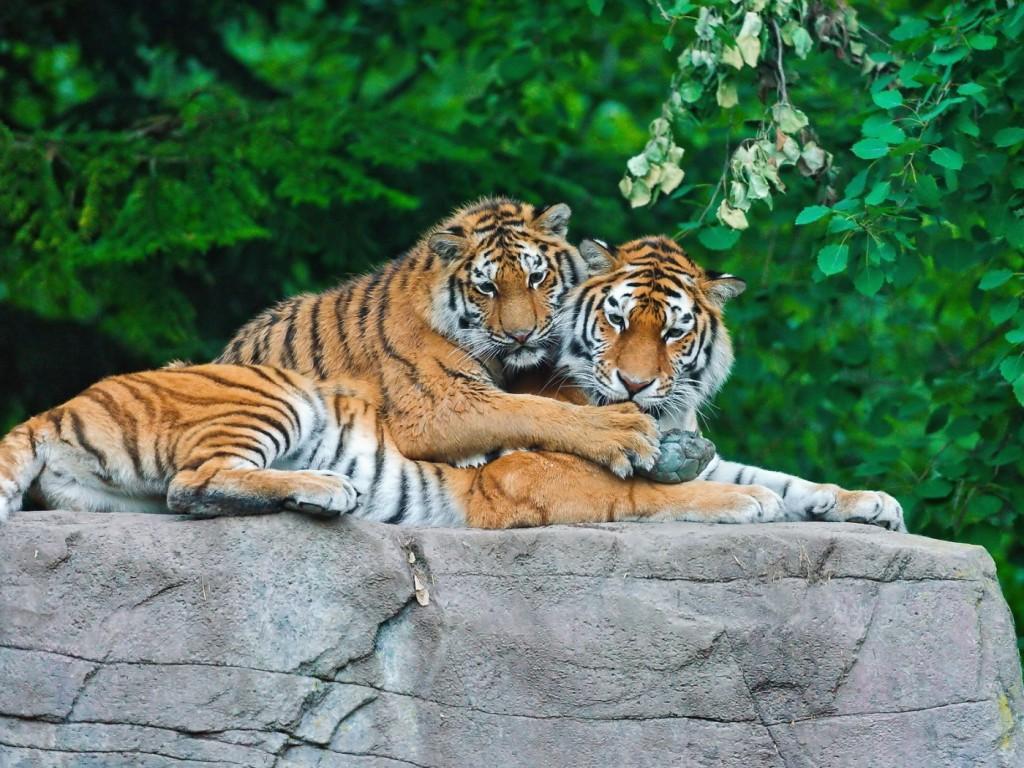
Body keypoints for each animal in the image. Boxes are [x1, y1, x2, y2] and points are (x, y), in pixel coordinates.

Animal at [216, 196, 660, 479]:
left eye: (536, 277)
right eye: (487, 288)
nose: (521, 335)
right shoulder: (439, 405)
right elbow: (532, 410)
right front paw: (622, 431)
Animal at [537, 235, 906, 531]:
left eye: (673, 332)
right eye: (617, 319)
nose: (633, 384)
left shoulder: (710, 461)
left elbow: (782, 480)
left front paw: (870, 501)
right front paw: (751, 500)